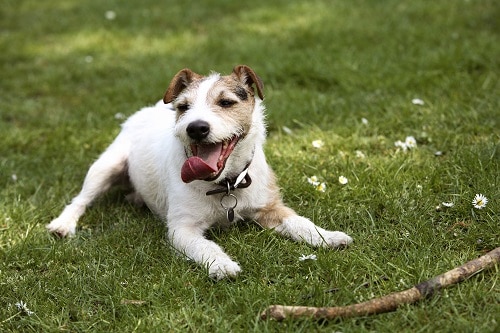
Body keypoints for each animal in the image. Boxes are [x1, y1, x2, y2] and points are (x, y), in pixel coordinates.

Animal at [46, 64, 352, 278]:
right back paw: (63, 224)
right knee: (81, 200)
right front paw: (222, 264)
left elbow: (301, 223)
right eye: (183, 107)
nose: (196, 128)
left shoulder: (270, 207)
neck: (225, 184)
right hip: (106, 166)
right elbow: (205, 246)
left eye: (226, 102)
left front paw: (328, 237)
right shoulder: (182, 229)